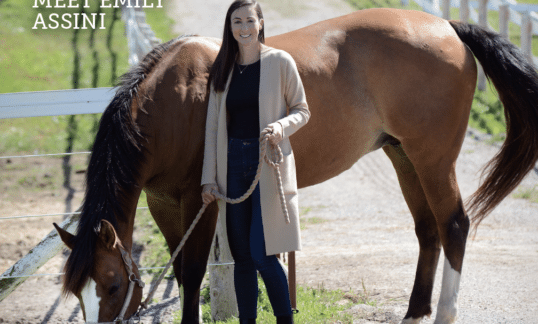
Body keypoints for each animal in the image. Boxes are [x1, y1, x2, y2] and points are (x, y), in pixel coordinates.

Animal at [53, 7, 536, 324]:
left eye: (113, 286)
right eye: (77, 291)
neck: (175, 101)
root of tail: (447, 27)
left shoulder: (199, 199)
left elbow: (191, 273)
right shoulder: (163, 202)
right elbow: (180, 270)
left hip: (432, 158)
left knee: (454, 225)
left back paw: (442, 314)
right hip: (403, 155)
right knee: (427, 229)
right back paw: (414, 314)